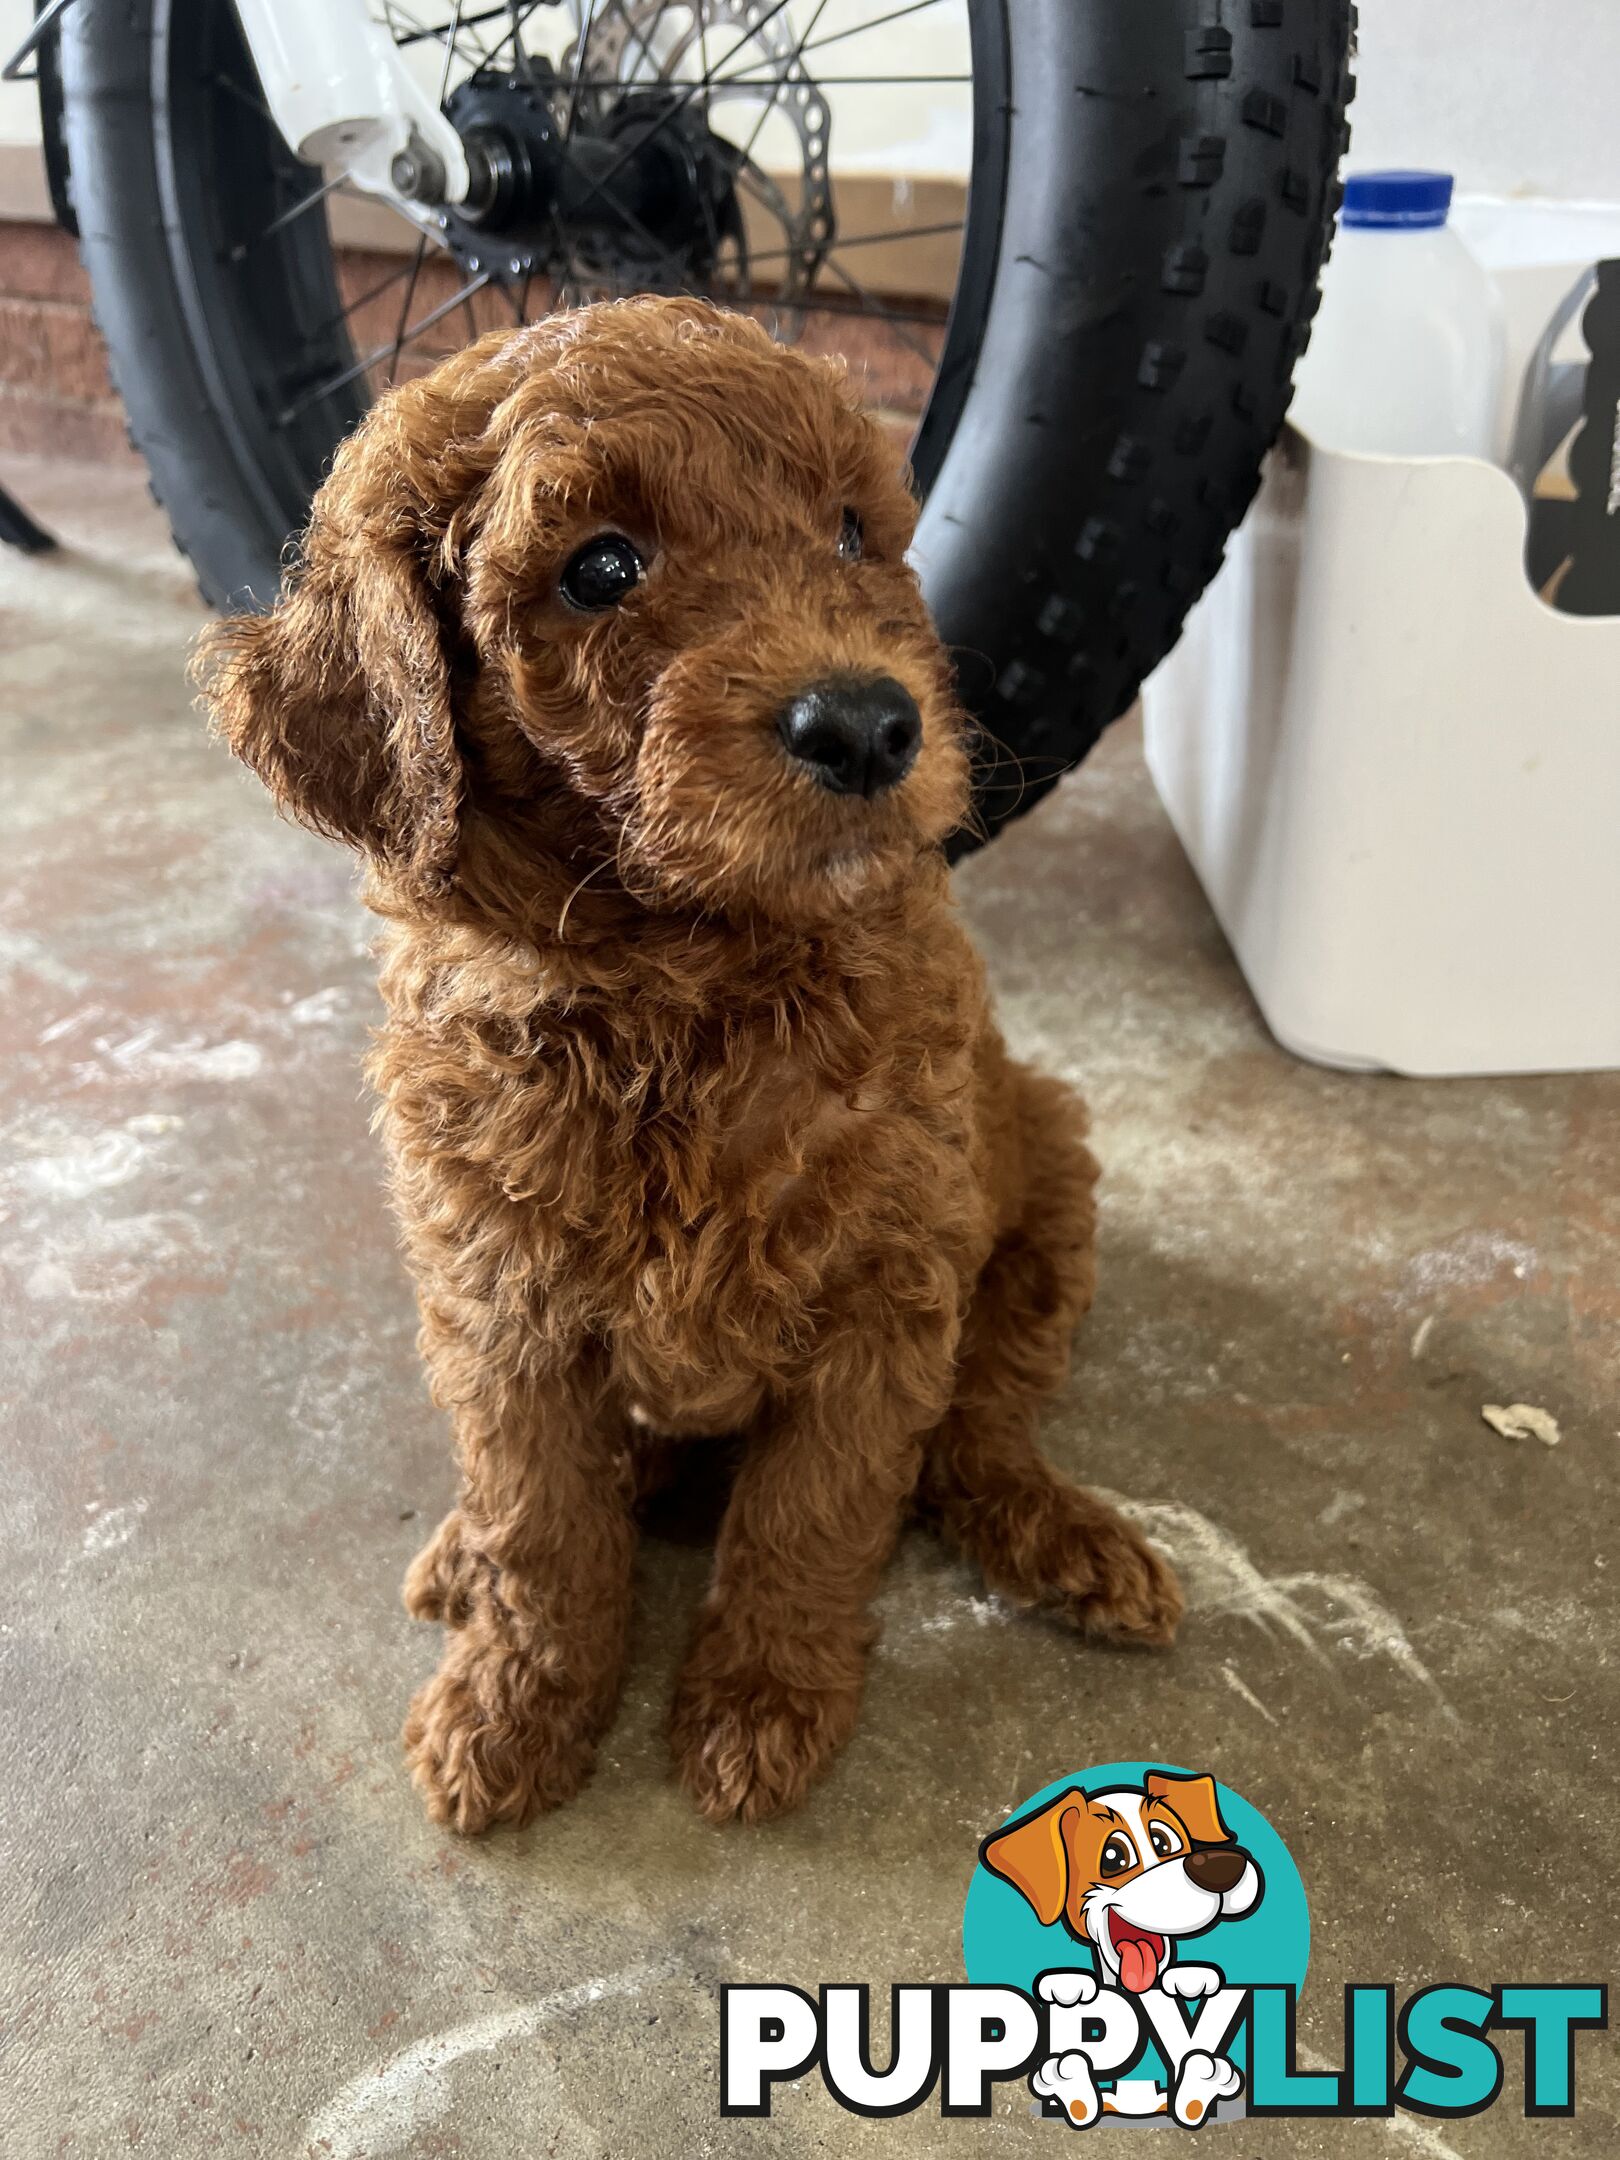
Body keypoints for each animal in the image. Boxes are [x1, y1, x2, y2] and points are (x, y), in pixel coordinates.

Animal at [196, 295, 1183, 1831]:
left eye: (851, 532)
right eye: (602, 567)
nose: (870, 724)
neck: (682, 988)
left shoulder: (885, 1291)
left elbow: (809, 1514)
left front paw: (761, 1701)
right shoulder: (499, 1308)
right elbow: (544, 1527)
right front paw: (518, 1705)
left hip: (1049, 1201)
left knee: (979, 1433)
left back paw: (1063, 1535)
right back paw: (466, 1552)